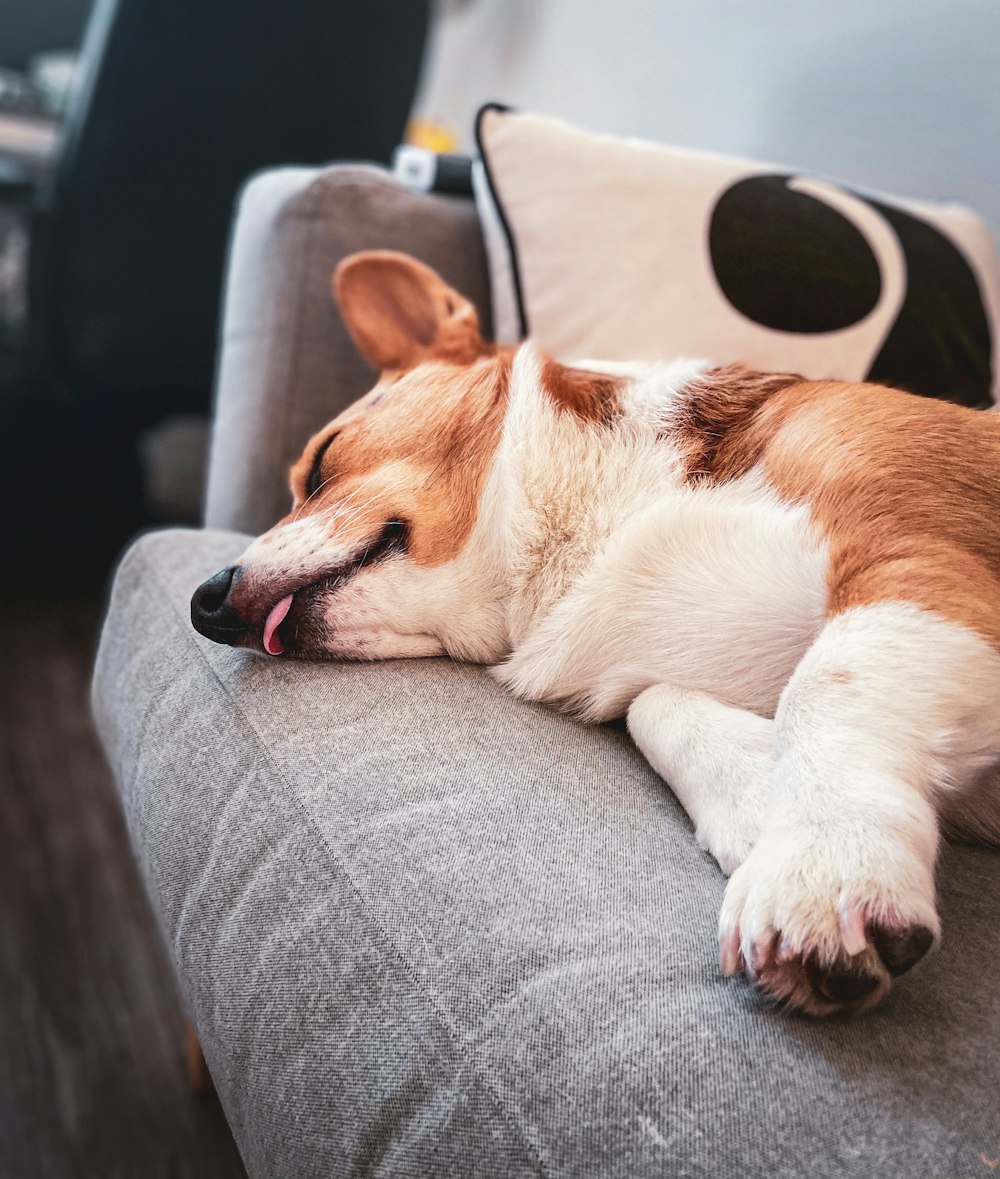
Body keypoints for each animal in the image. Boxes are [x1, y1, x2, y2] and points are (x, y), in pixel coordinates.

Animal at [193, 248, 999, 1013]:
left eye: (321, 463)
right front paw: (758, 803)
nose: (205, 602)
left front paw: (824, 865)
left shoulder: (914, 555)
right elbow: (657, 707)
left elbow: (825, 685)